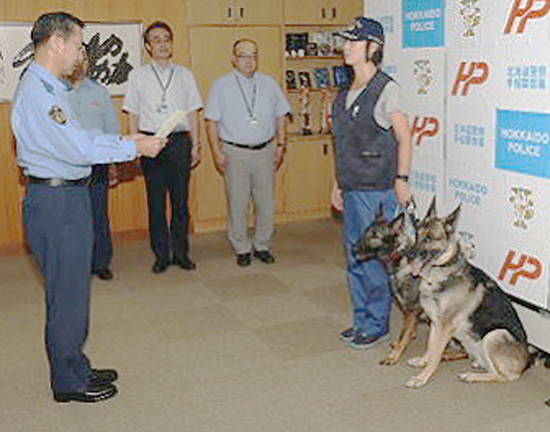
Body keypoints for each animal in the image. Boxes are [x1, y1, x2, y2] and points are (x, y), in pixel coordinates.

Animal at [408, 202, 532, 388]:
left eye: (429, 238)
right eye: (417, 235)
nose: (407, 255)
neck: (442, 273)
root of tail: (526, 363)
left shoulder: (444, 328)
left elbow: (435, 355)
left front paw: (422, 377)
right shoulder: (435, 324)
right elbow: (430, 347)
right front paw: (422, 361)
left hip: (494, 335)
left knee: (503, 376)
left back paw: (472, 376)